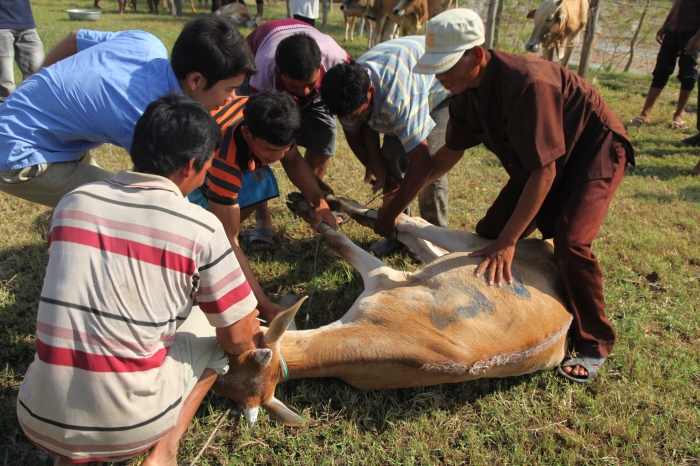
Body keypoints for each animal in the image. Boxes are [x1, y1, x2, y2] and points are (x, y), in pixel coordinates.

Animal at [211, 193, 572, 426]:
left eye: (224, 361)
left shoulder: (382, 278)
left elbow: (337, 241)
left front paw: (315, 217)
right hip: (452, 261)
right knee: (417, 239)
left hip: (479, 248)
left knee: (415, 222)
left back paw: (320, 203)